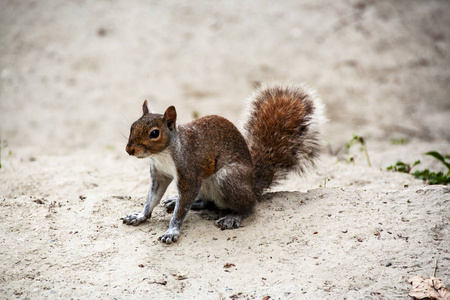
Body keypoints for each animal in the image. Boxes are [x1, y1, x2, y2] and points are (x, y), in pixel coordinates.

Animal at [121, 82, 326, 244]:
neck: (163, 154)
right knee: (207, 202)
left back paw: (233, 216)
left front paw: (172, 231)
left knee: (249, 206)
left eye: (154, 133)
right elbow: (152, 198)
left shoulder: (189, 172)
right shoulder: (160, 175)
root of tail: (252, 186)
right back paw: (181, 201)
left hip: (227, 177)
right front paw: (140, 216)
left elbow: (182, 208)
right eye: (132, 126)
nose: (129, 150)